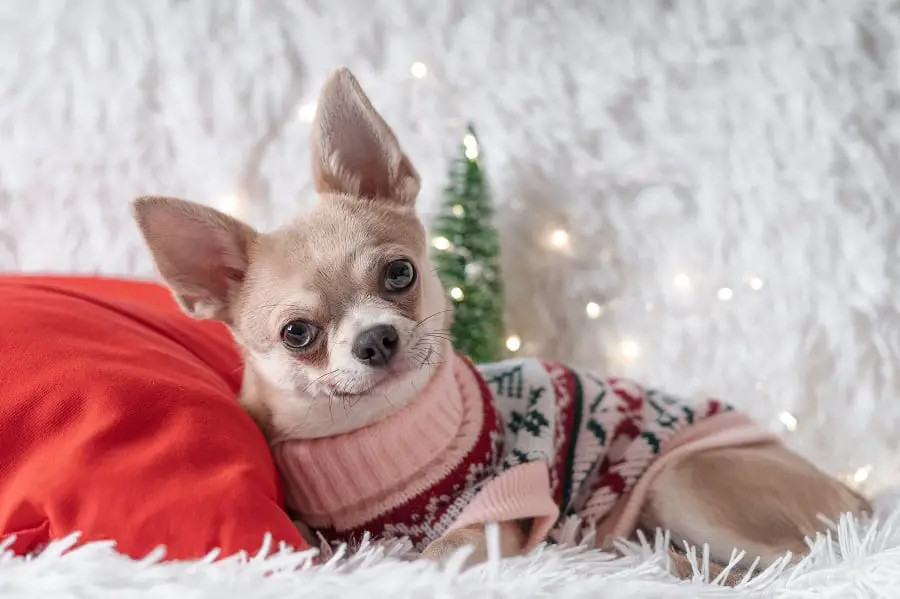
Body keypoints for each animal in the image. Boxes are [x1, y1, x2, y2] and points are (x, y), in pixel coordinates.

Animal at [134, 68, 872, 584]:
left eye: (399, 273)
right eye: (297, 334)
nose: (376, 337)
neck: (373, 441)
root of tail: (856, 497)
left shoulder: (489, 519)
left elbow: (425, 557)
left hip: (681, 480)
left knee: (802, 559)